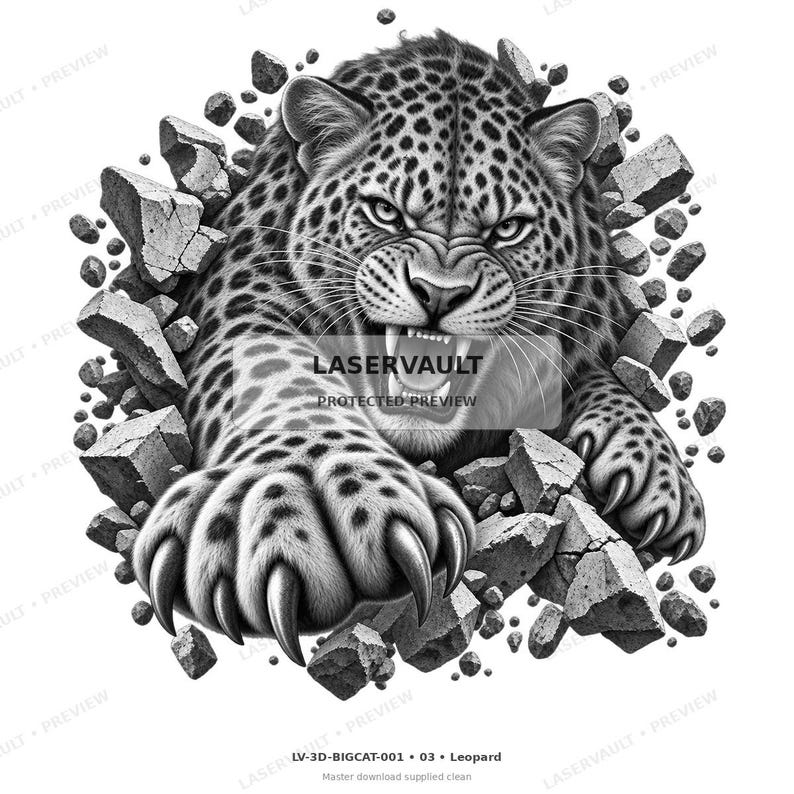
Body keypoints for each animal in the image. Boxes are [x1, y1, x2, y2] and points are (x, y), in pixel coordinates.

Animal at [133, 31, 705, 665]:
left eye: (508, 229)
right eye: (386, 213)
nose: (439, 292)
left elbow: (598, 374)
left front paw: (659, 471)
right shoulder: (243, 293)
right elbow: (283, 379)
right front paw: (307, 499)